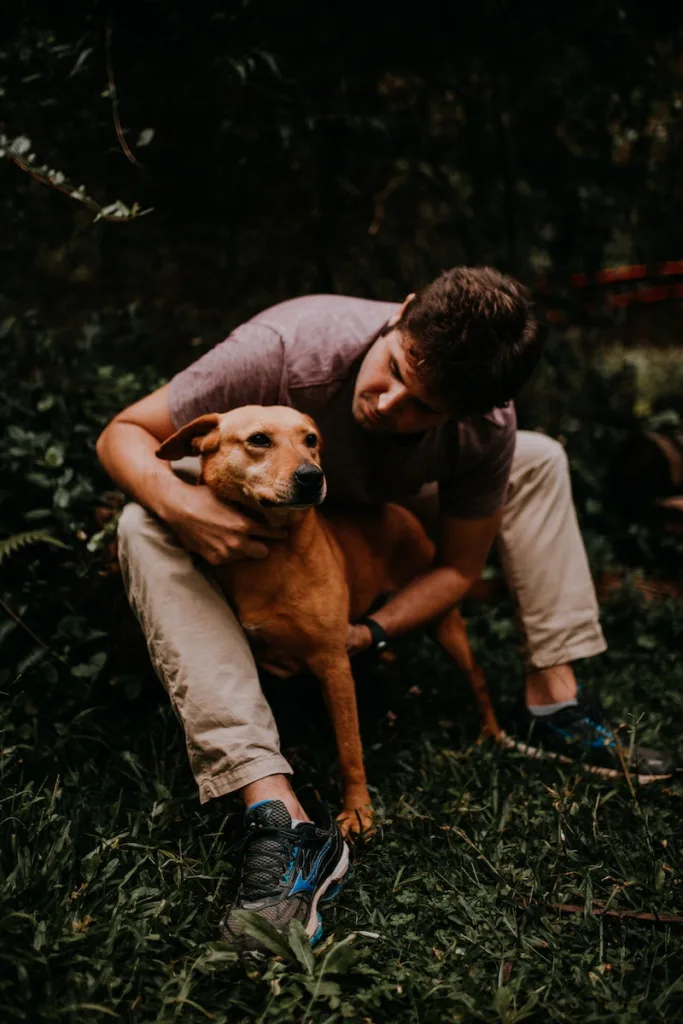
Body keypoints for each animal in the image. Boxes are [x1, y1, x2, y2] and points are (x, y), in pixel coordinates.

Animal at [154, 403, 499, 835]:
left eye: (311, 439)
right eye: (258, 440)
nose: (312, 476)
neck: (272, 556)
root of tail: (398, 510)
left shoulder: (333, 664)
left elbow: (349, 748)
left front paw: (358, 811)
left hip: (443, 618)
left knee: (478, 677)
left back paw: (492, 736)